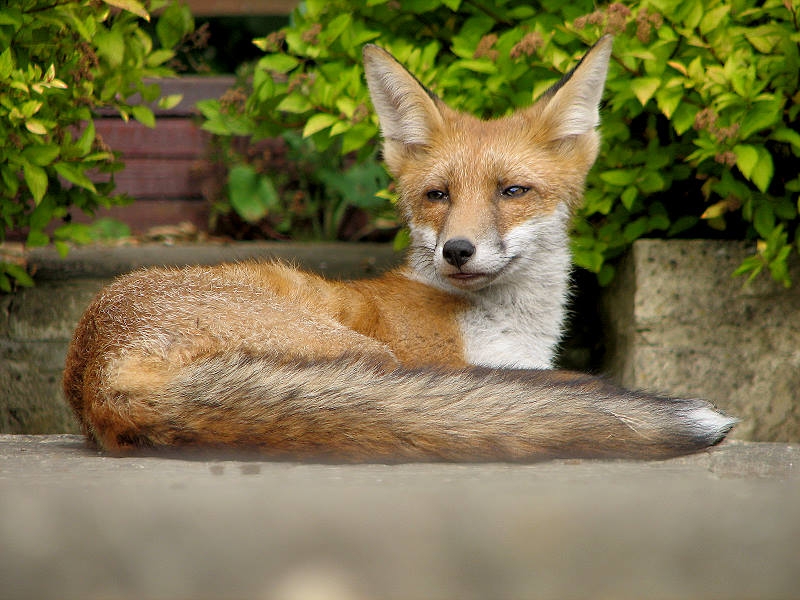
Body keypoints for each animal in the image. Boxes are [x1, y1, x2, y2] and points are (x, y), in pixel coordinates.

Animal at [65, 36, 736, 460]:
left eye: (512, 191)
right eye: (438, 195)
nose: (458, 251)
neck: (507, 330)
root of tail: (98, 369)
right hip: (369, 357)